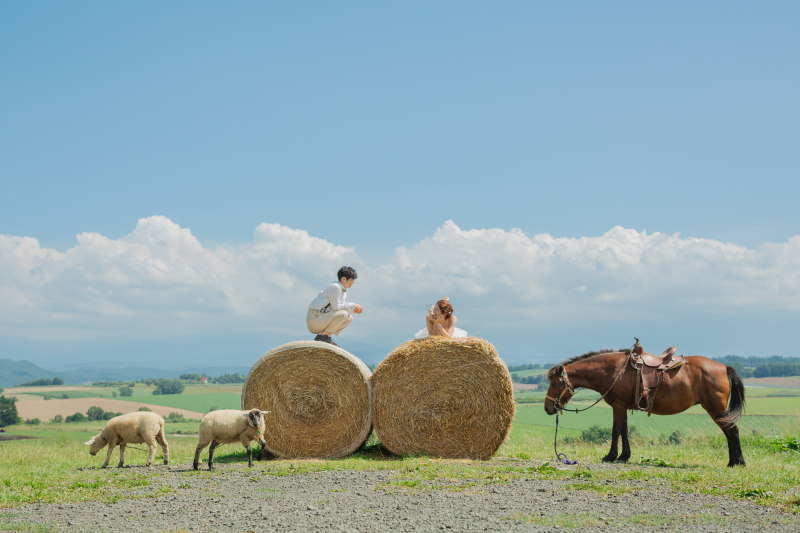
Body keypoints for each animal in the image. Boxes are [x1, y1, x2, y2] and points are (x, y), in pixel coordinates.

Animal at [540, 344, 748, 466]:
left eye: (555, 384)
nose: (548, 408)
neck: (613, 370)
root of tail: (724, 368)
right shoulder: (623, 406)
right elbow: (624, 431)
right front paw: (624, 456)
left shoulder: (618, 406)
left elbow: (615, 431)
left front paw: (610, 456)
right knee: (729, 432)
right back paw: (733, 461)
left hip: (715, 408)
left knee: (733, 431)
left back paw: (737, 462)